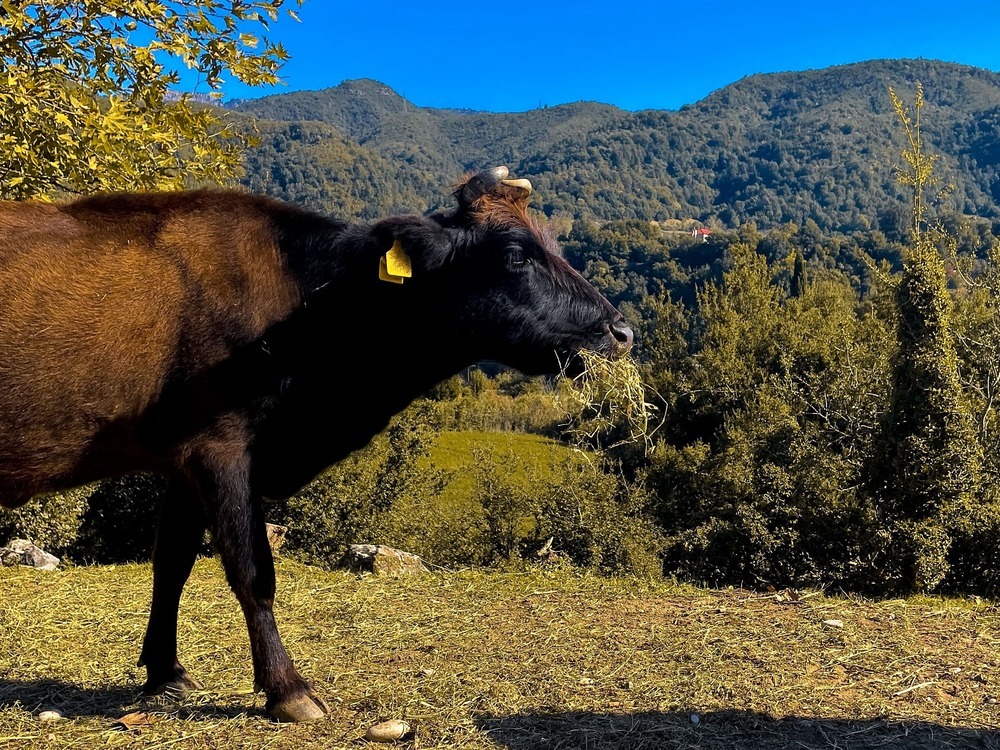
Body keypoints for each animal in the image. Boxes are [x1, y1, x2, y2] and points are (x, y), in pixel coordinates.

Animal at [0, 169, 632, 724]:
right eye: (517, 254)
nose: (621, 331)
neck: (312, 312)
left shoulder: (181, 462)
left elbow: (172, 563)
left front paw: (165, 673)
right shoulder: (219, 448)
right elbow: (253, 571)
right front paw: (287, 690)